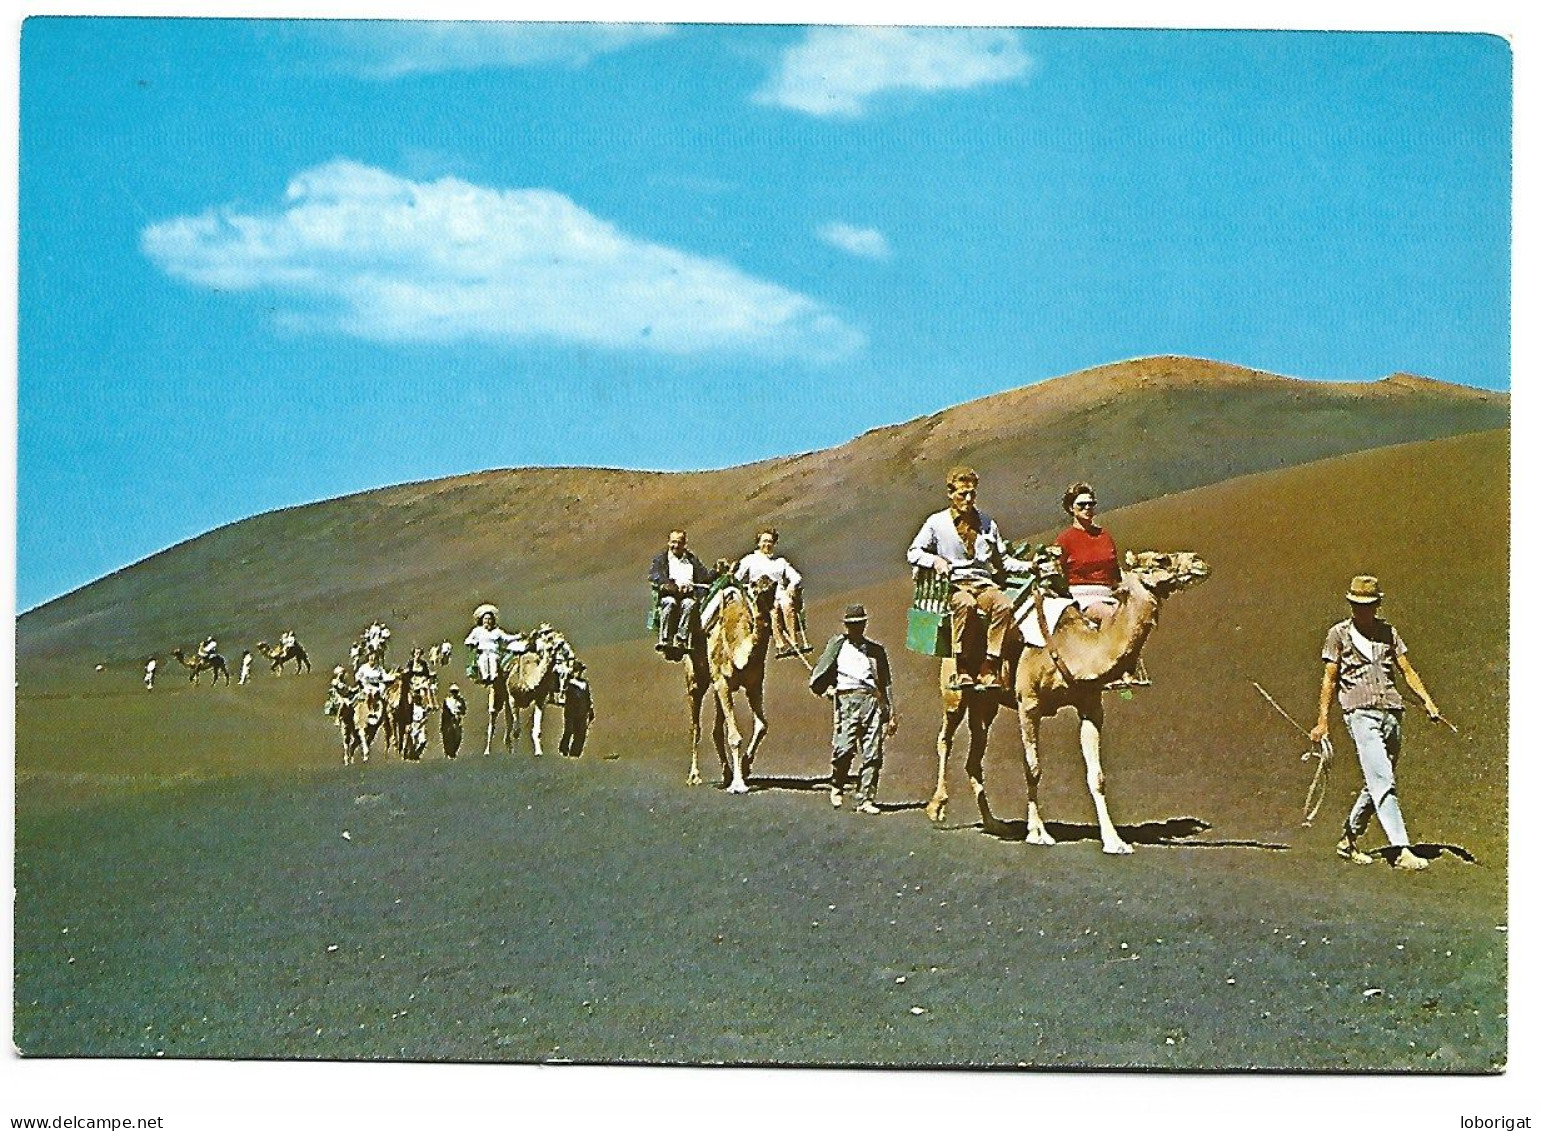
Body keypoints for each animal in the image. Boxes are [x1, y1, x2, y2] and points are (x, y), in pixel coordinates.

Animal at [918, 554, 1208, 856]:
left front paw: (1114, 841)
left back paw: (994, 824)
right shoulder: (1028, 702)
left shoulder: (1091, 705)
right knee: (945, 738)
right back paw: (937, 808)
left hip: (986, 701)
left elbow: (1097, 775)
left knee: (974, 757)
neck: (1074, 648)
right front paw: (1038, 833)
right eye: (1159, 561)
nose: (1199, 562)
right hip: (954, 689)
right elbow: (1032, 768)